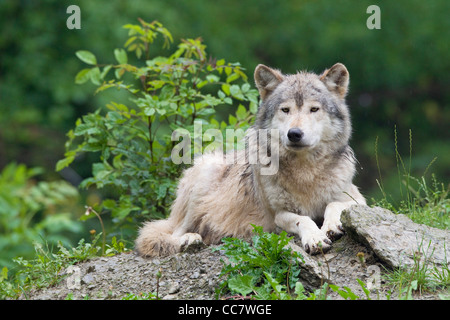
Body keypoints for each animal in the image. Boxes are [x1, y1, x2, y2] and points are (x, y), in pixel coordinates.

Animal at [136, 62, 366, 258]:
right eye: (285, 110)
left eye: (314, 109)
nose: (294, 134)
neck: (305, 172)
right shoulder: (278, 216)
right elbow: (303, 219)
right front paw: (315, 238)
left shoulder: (357, 199)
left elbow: (335, 204)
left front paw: (331, 227)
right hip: (203, 178)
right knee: (167, 234)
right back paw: (189, 240)